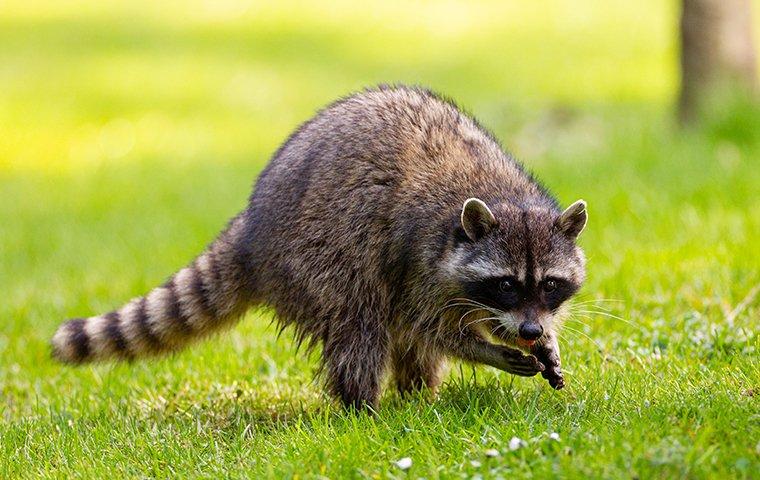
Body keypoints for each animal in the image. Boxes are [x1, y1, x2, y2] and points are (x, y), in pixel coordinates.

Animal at [52, 85, 588, 408]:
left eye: (549, 284)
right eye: (505, 284)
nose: (529, 329)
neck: (504, 195)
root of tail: (251, 226)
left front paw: (540, 340)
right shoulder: (420, 257)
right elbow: (430, 326)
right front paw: (486, 350)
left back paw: (417, 395)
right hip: (316, 256)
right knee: (360, 323)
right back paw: (363, 407)